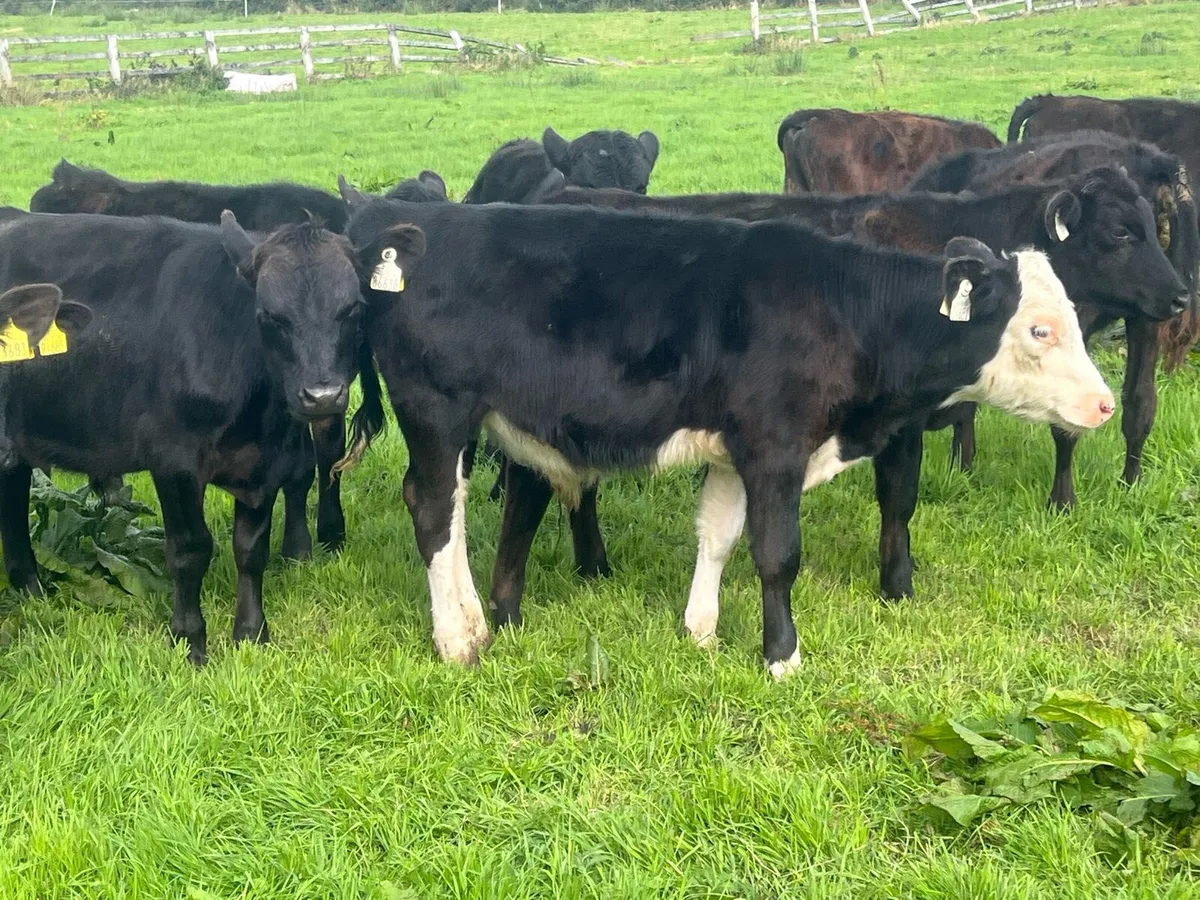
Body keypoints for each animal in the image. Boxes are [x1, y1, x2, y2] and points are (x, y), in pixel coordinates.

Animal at [0, 209, 363, 664]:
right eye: (269, 315)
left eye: (352, 309)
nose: (322, 396)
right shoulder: (174, 462)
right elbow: (191, 551)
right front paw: (190, 640)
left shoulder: (265, 464)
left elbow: (251, 550)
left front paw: (251, 633)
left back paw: (31, 592)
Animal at [30, 160, 357, 556]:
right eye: (271, 315)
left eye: (350, 307)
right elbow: (302, 466)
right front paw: (304, 546)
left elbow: (320, 458)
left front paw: (321, 540)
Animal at [340, 196, 1114, 675]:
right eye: (1039, 330)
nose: (1104, 404)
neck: (843, 309)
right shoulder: (776, 448)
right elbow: (777, 555)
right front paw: (782, 656)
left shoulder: (734, 452)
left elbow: (717, 535)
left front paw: (701, 631)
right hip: (436, 411)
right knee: (434, 510)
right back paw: (457, 640)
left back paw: (482, 621)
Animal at [910, 132, 1200, 507]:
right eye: (1119, 232)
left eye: (1155, 227)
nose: (1180, 298)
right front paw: (1062, 501)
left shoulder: (1146, 319)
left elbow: (1140, 404)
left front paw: (1131, 483)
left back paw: (963, 466)